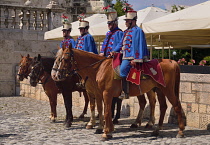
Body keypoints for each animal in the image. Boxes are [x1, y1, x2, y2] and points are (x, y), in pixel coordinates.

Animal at [56, 46, 185, 140]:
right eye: (59, 59)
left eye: (65, 59)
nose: (58, 75)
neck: (99, 68)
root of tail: (171, 61)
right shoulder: (99, 94)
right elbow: (102, 109)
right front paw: (106, 129)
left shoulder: (106, 94)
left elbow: (107, 111)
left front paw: (106, 132)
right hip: (159, 90)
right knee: (162, 107)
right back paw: (156, 130)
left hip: (167, 90)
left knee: (176, 106)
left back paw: (180, 131)